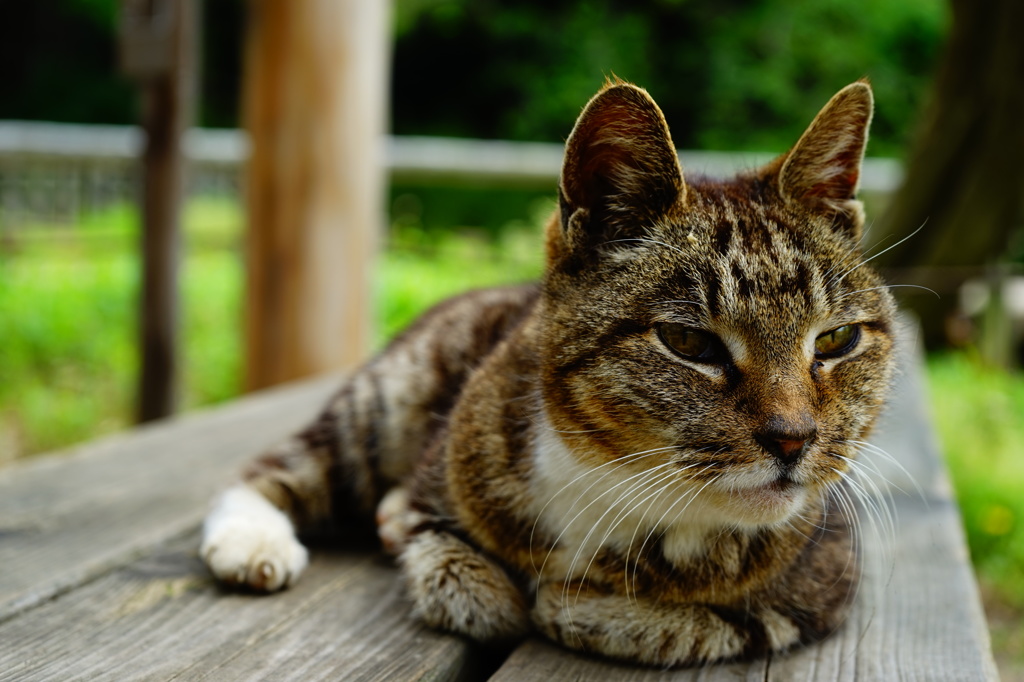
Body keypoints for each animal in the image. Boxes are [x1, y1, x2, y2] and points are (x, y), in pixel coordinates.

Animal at [199, 79, 897, 663]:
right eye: (688, 342)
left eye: (836, 338)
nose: (794, 439)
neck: (616, 482)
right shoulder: (448, 463)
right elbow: (466, 577)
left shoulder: (822, 580)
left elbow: (692, 622)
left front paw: (577, 600)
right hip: (389, 401)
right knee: (276, 467)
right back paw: (253, 541)